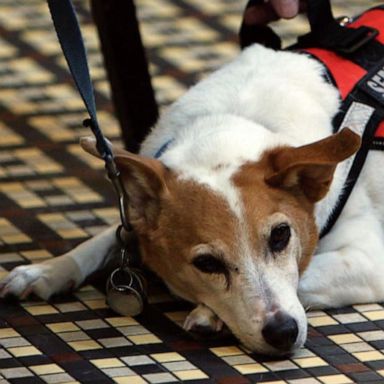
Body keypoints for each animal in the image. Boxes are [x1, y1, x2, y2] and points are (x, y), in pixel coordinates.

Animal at [0, 40, 384, 356]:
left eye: (280, 236)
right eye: (207, 264)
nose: (283, 333)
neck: (234, 120)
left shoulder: (370, 259)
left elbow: (305, 275)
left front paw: (208, 315)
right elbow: (106, 237)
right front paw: (48, 269)